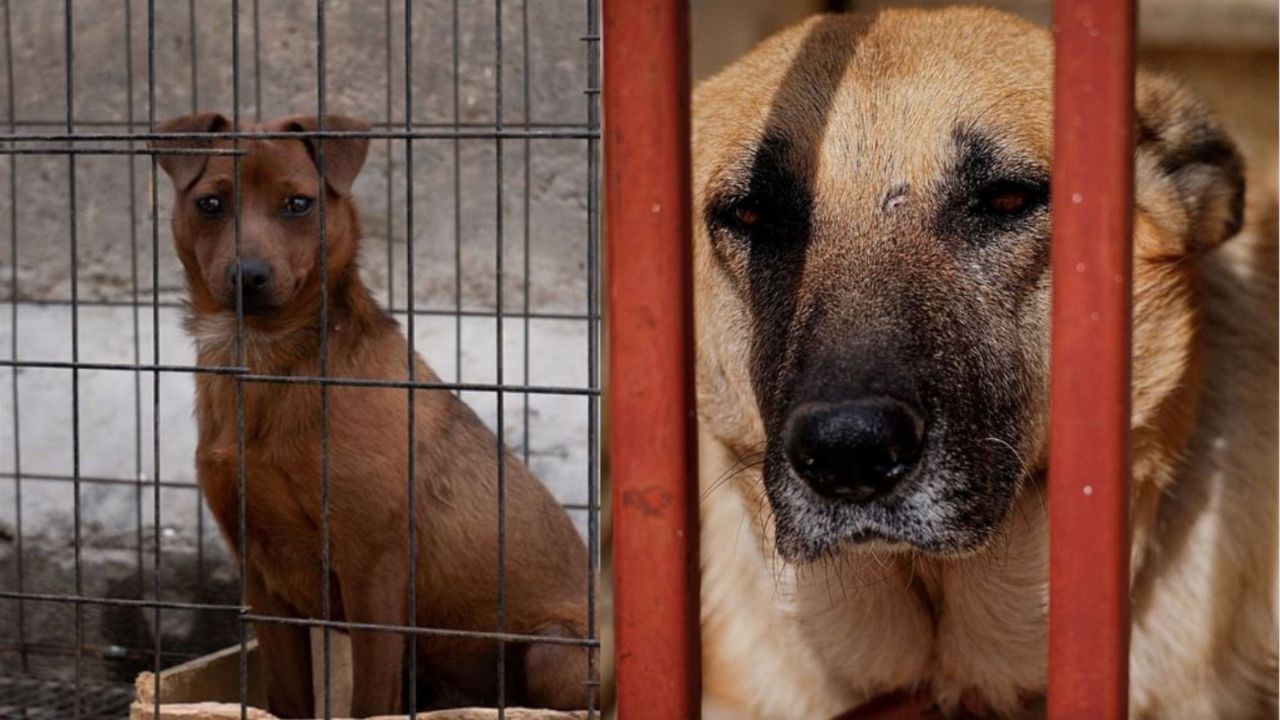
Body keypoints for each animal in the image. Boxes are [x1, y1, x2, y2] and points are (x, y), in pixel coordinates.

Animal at [149, 112, 588, 712]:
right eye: (210, 204)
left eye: (299, 203)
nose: (249, 275)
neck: (268, 364)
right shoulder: (262, 580)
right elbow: (290, 699)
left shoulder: (373, 572)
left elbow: (370, 701)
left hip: (553, 653)